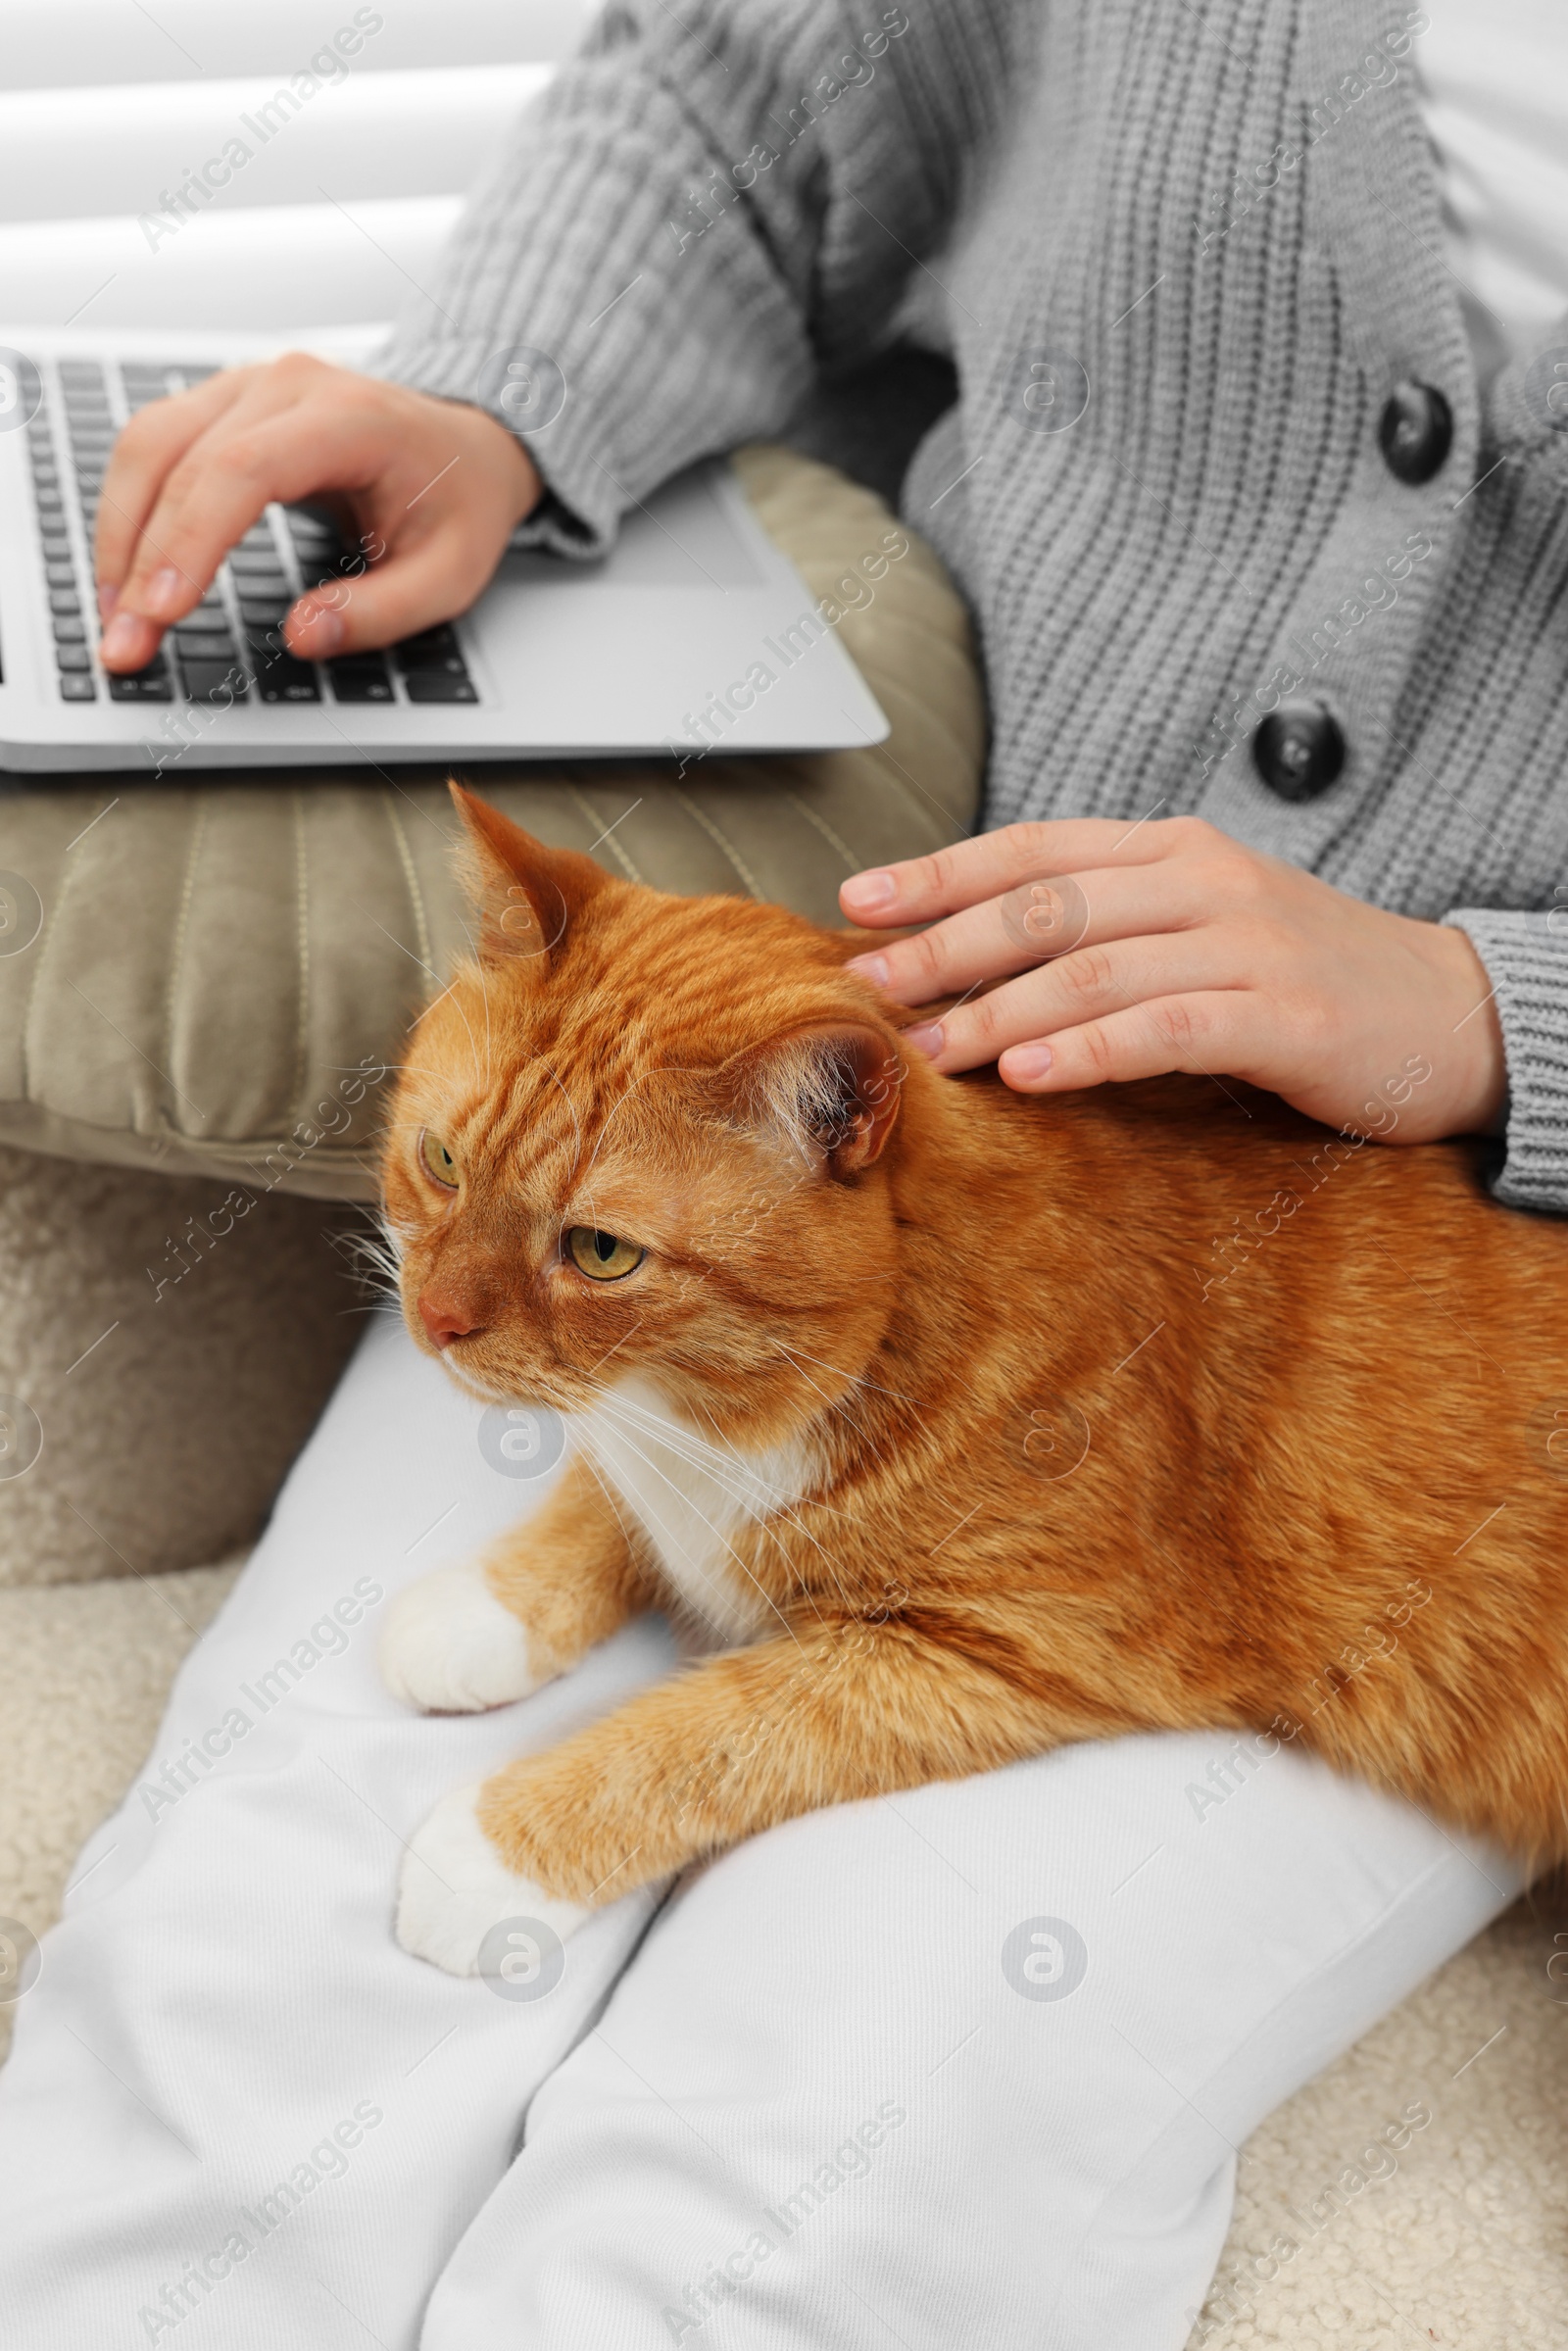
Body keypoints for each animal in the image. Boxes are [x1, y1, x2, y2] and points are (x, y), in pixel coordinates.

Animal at [380, 785, 1568, 1965]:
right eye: (441, 1162)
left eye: (599, 1253)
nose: (433, 1322)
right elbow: (606, 1491)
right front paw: (485, 1607)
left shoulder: (1003, 1648)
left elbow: (715, 1730)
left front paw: (496, 1853)